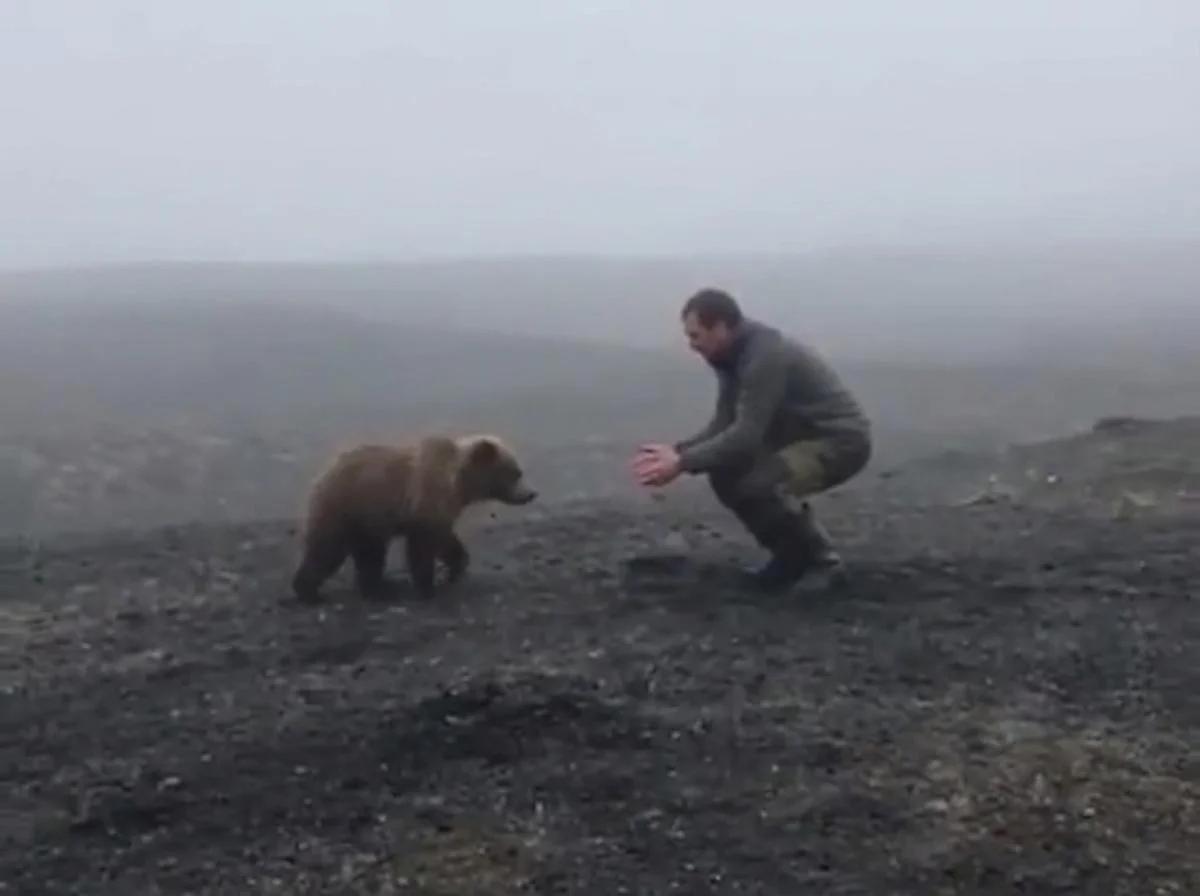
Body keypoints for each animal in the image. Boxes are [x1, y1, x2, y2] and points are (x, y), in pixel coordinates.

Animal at [290, 433, 537, 602]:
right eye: (516, 473)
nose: (531, 494)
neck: (459, 484)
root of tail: (322, 475)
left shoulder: (443, 509)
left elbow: (446, 539)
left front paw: (457, 565)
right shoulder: (426, 499)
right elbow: (424, 545)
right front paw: (428, 585)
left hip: (366, 522)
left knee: (370, 554)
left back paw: (378, 587)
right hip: (343, 508)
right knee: (327, 549)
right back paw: (308, 591)